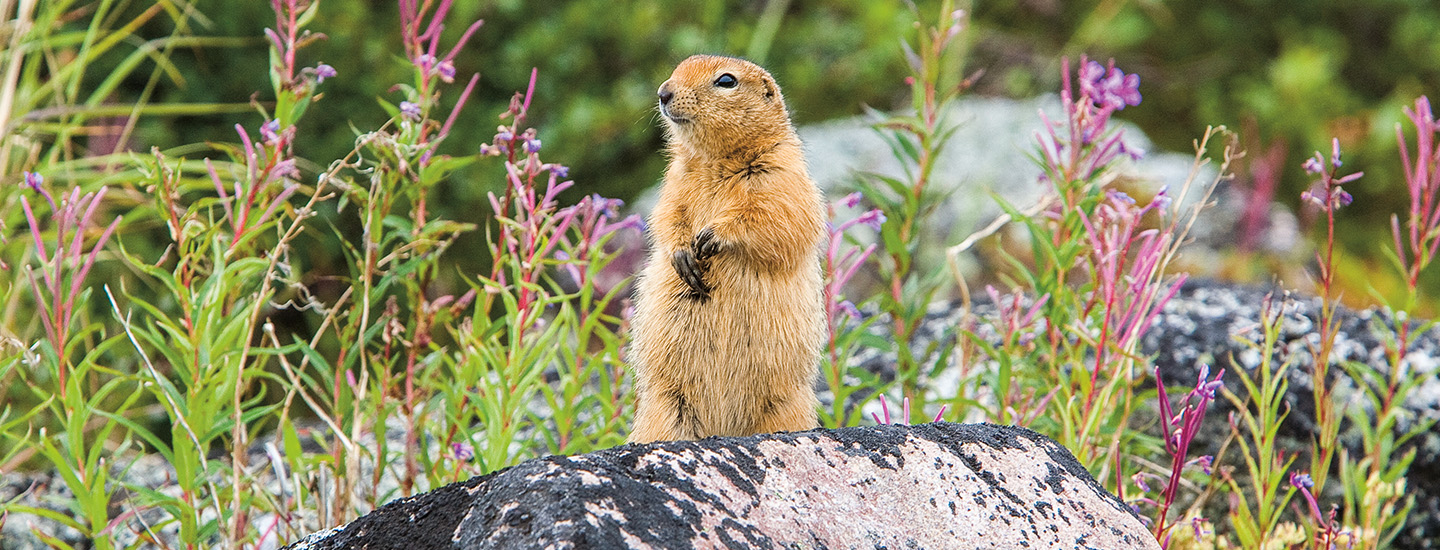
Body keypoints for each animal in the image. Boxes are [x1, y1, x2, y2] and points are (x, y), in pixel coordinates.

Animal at [627, 54, 829, 443]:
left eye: (726, 81)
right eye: (678, 68)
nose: (663, 92)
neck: (715, 160)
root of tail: (722, 428)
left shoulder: (783, 175)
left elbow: (779, 215)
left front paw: (713, 235)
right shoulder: (673, 181)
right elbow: (667, 216)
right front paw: (683, 255)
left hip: (785, 408)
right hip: (666, 409)